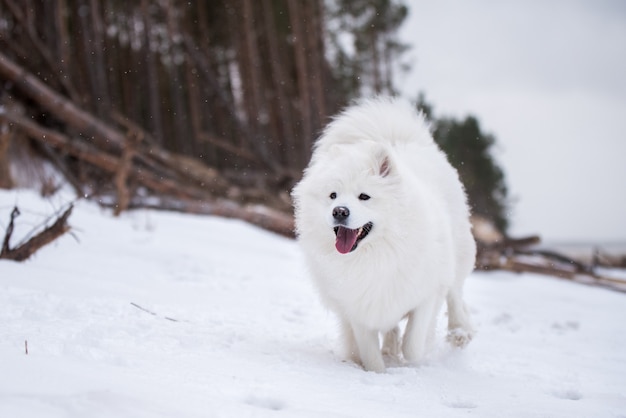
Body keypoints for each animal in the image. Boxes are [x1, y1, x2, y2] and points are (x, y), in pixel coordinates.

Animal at [292, 95, 472, 372]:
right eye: (333, 195)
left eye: (364, 196)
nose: (339, 211)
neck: (374, 256)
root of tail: (396, 139)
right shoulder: (359, 307)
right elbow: (370, 353)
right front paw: (378, 369)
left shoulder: (426, 294)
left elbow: (413, 344)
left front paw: (412, 361)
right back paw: (389, 347)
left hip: (457, 255)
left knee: (455, 295)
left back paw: (460, 332)